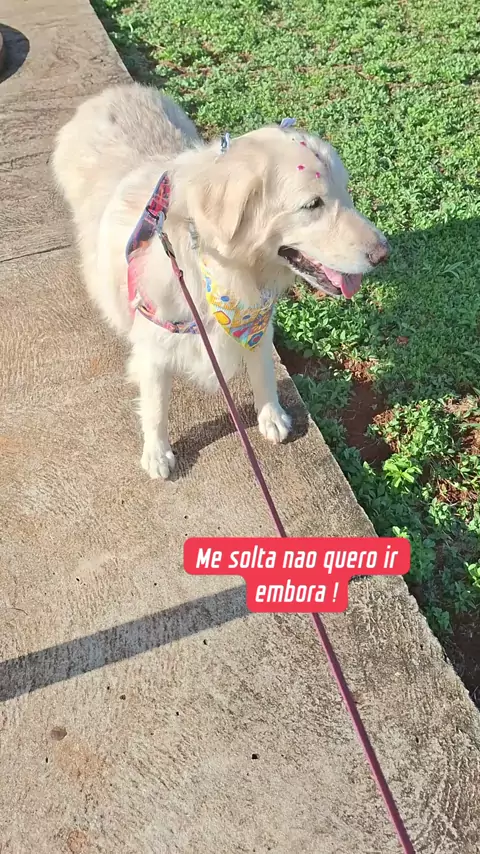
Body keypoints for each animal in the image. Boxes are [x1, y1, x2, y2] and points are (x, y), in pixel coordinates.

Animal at [52, 83, 389, 480]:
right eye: (312, 205)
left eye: (346, 192)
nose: (384, 253)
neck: (220, 269)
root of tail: (112, 92)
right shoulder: (154, 346)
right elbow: (155, 403)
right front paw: (157, 453)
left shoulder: (260, 319)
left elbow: (263, 369)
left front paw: (271, 415)